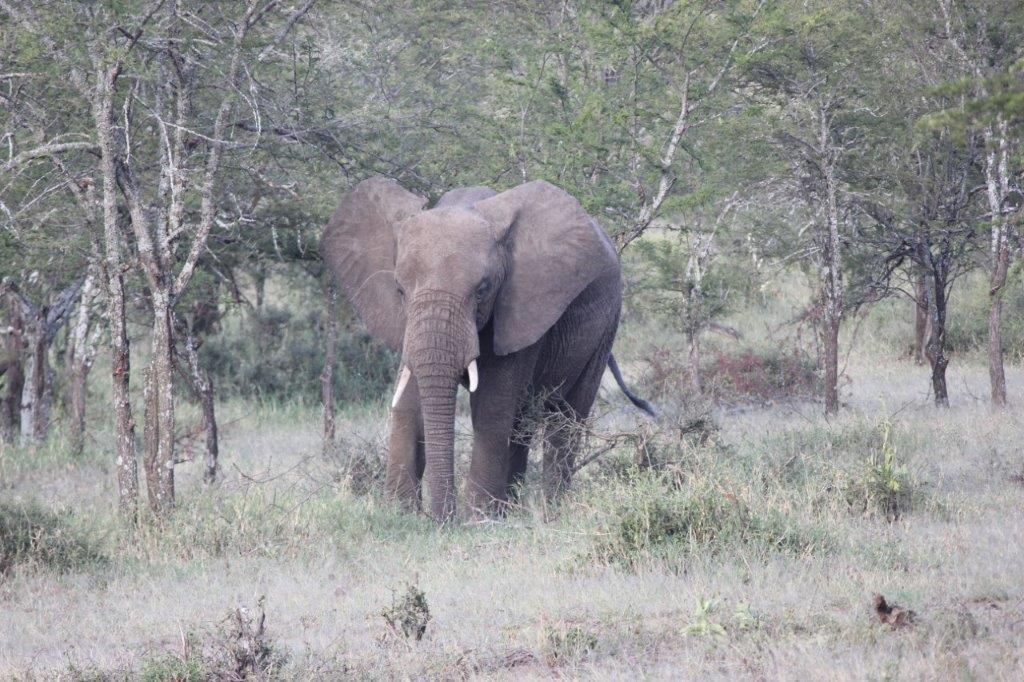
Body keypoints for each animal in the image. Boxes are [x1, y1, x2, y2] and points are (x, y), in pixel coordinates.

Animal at [321, 176, 655, 520]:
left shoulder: (521, 306)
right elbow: (408, 402)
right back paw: (512, 507)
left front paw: (477, 518)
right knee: (523, 422)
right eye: (400, 289)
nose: (443, 519)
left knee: (568, 416)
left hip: (607, 322)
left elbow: (491, 404)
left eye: (482, 290)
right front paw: (400, 514)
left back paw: (551, 510)